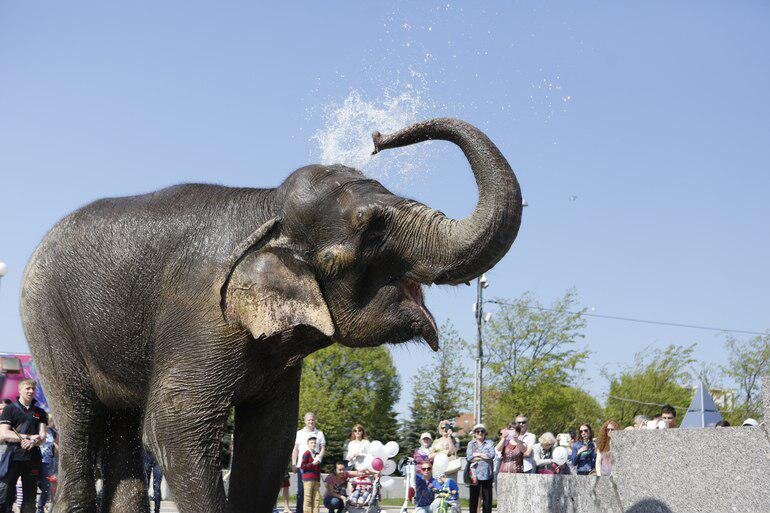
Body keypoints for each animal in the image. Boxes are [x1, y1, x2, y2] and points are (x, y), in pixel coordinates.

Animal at [19, 117, 520, 512]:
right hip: (46, 321)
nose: (378, 138)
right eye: (369, 232)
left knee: (120, 425)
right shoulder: (200, 313)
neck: (267, 206)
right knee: (80, 420)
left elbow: (271, 436)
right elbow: (174, 425)